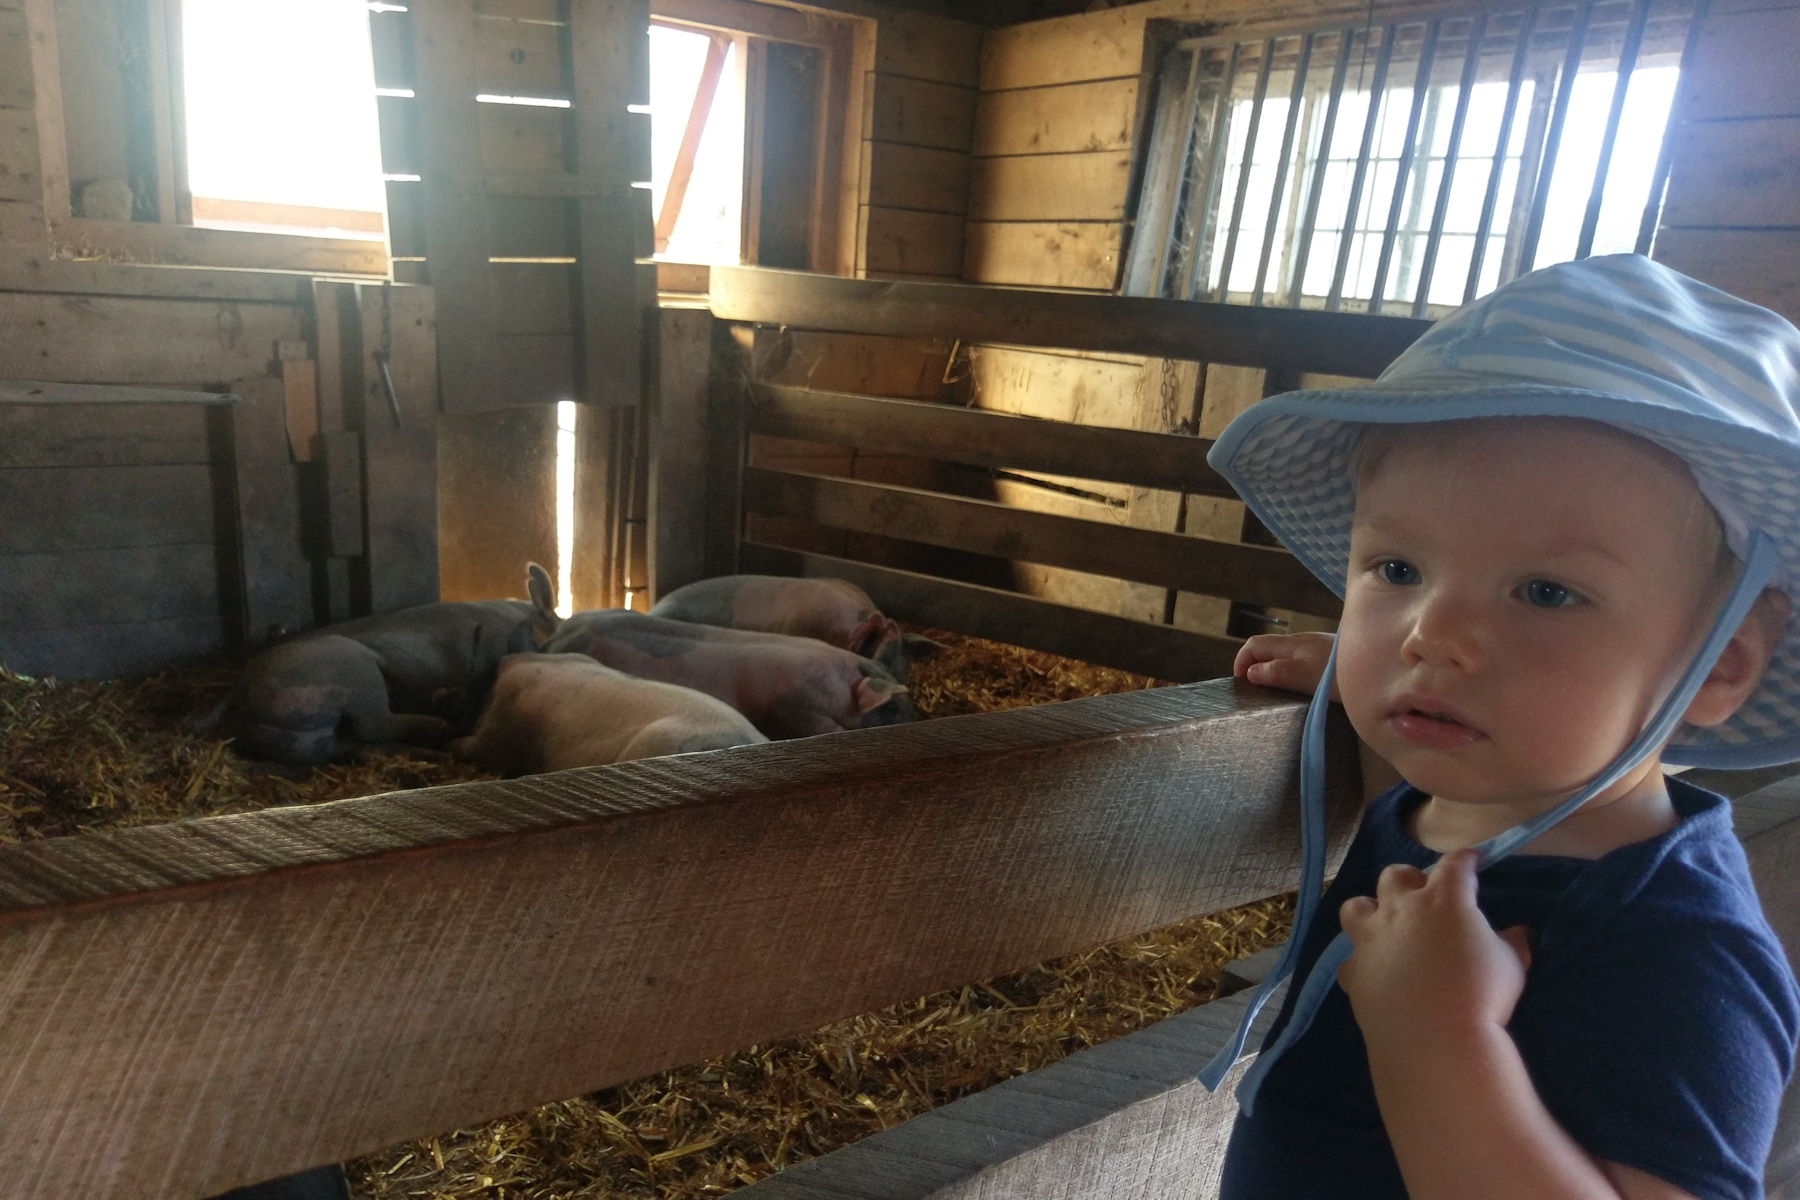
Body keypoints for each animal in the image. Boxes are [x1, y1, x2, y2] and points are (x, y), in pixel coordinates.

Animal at [215, 564, 560, 765]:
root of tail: (244, 684)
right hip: (355, 674)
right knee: (373, 723)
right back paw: (435, 727)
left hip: (296, 735)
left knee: (350, 744)